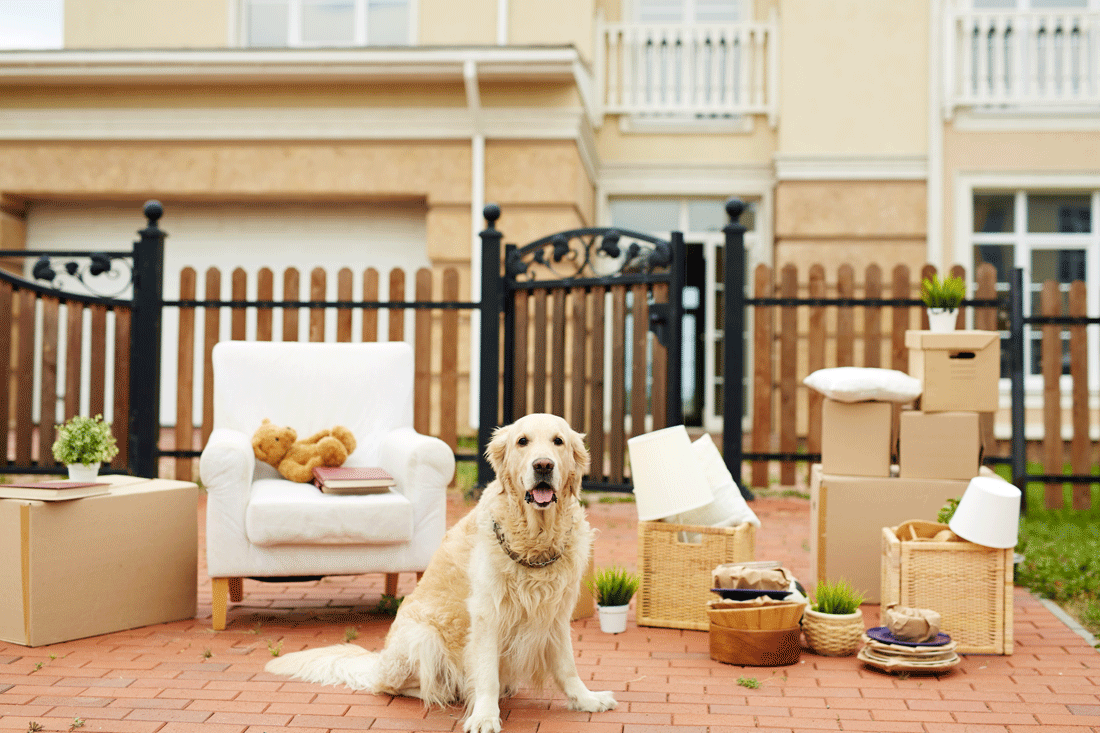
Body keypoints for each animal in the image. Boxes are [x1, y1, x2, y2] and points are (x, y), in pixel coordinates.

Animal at [261, 411, 616, 730]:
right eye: (522, 441)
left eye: (558, 441)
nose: (543, 465)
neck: (535, 539)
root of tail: (378, 663)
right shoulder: (488, 614)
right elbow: (486, 674)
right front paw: (485, 716)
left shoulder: (556, 614)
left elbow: (567, 666)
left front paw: (586, 699)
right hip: (423, 637)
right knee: (394, 686)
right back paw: (443, 693)